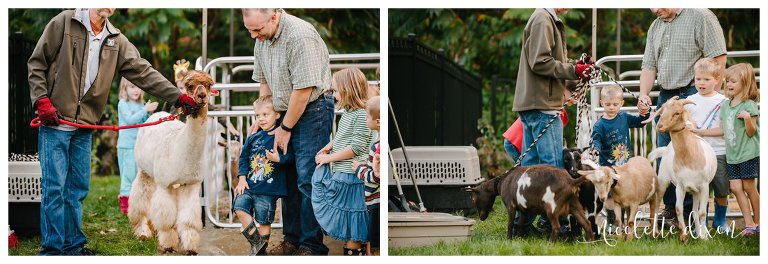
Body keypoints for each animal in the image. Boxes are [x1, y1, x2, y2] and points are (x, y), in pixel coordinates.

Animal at [462, 166, 592, 242]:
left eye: (474, 200)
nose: (481, 218)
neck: (501, 182)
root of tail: (571, 181)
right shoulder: (524, 211)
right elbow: (520, 224)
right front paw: (519, 239)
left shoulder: (511, 206)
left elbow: (510, 224)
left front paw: (509, 240)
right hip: (575, 206)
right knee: (587, 224)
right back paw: (590, 243)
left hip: (551, 208)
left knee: (556, 227)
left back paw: (550, 243)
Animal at [644, 96, 716, 241]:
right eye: (662, 111)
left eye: (677, 113)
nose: (660, 126)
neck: (688, 156)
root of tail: (665, 149)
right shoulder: (680, 186)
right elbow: (678, 208)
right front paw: (683, 236)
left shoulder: (704, 186)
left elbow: (702, 212)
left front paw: (704, 237)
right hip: (663, 181)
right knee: (656, 204)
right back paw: (655, 232)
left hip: (696, 191)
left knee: (694, 211)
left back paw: (699, 234)